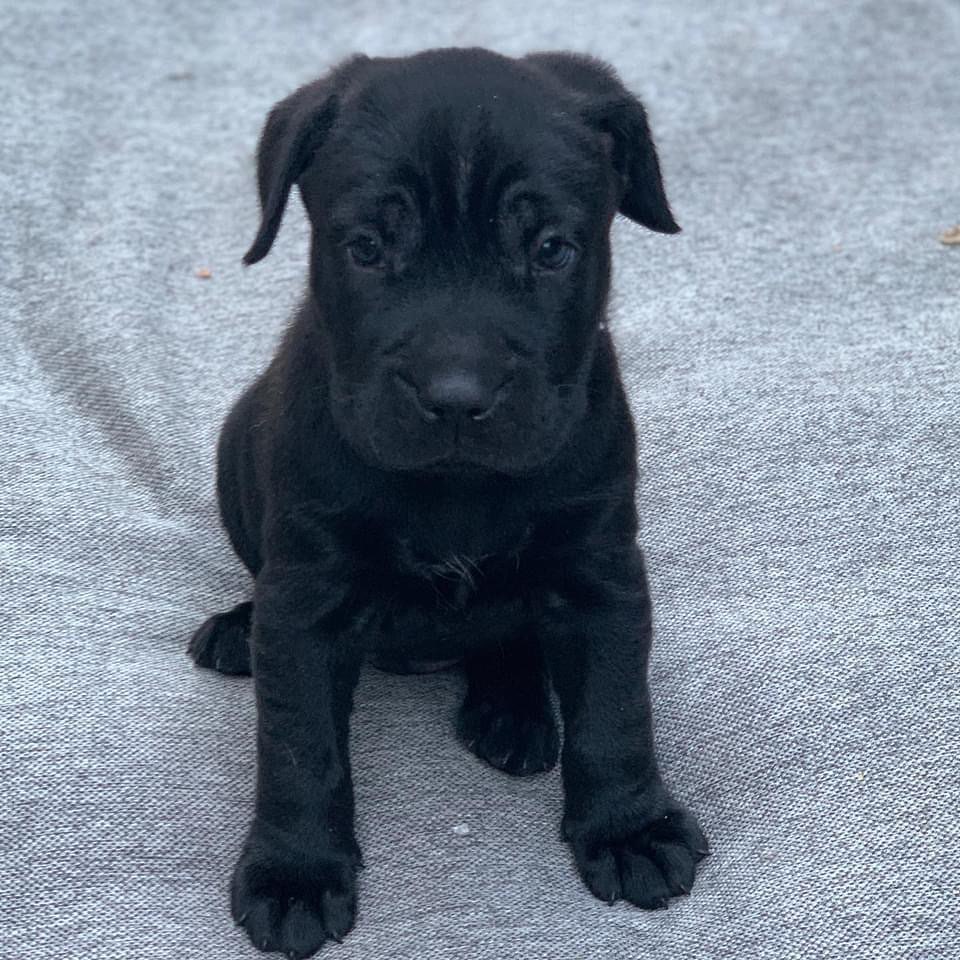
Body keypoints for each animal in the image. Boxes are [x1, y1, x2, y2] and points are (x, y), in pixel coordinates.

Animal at [191, 47, 708, 960]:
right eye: (366, 248)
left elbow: (616, 711)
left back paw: (513, 708)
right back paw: (236, 631)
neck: (457, 488)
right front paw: (295, 873)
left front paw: (629, 828)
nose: (457, 395)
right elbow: (298, 745)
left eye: (551, 249)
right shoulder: (308, 596)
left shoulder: (599, 571)